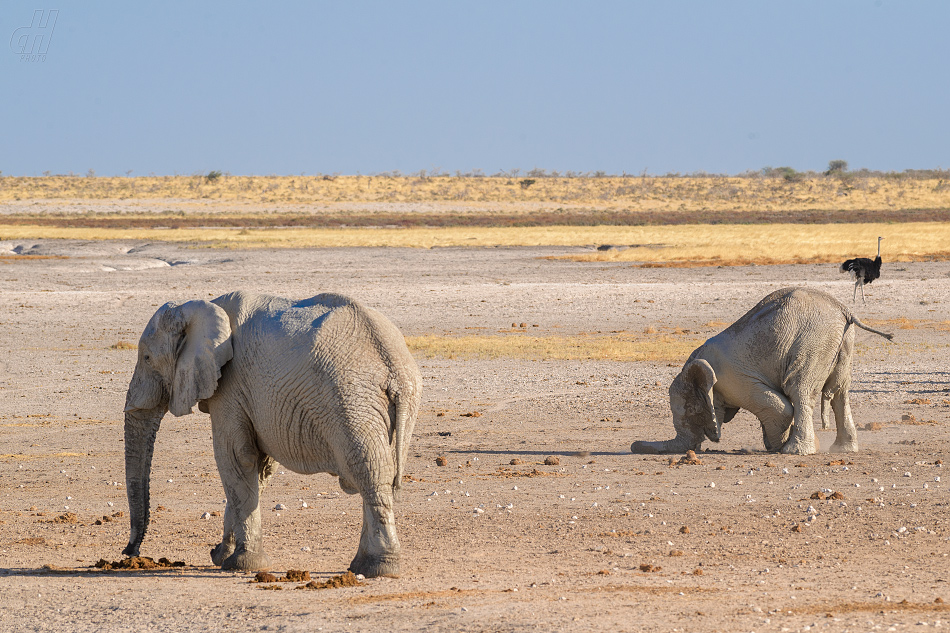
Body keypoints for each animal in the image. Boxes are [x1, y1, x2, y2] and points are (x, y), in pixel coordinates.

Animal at [122, 292, 424, 576]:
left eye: (147, 358)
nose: (129, 553)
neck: (198, 307)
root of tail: (395, 368)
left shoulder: (231, 386)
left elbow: (236, 457)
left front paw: (241, 564)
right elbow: (259, 468)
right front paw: (222, 556)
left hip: (352, 401)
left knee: (371, 473)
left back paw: (378, 569)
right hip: (394, 406)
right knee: (381, 473)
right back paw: (361, 566)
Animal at [632, 286, 892, 454]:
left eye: (689, 412)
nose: (634, 446)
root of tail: (844, 310)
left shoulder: (734, 381)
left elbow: (780, 408)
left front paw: (777, 446)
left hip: (814, 340)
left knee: (799, 389)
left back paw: (795, 451)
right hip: (842, 343)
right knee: (840, 392)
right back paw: (843, 449)